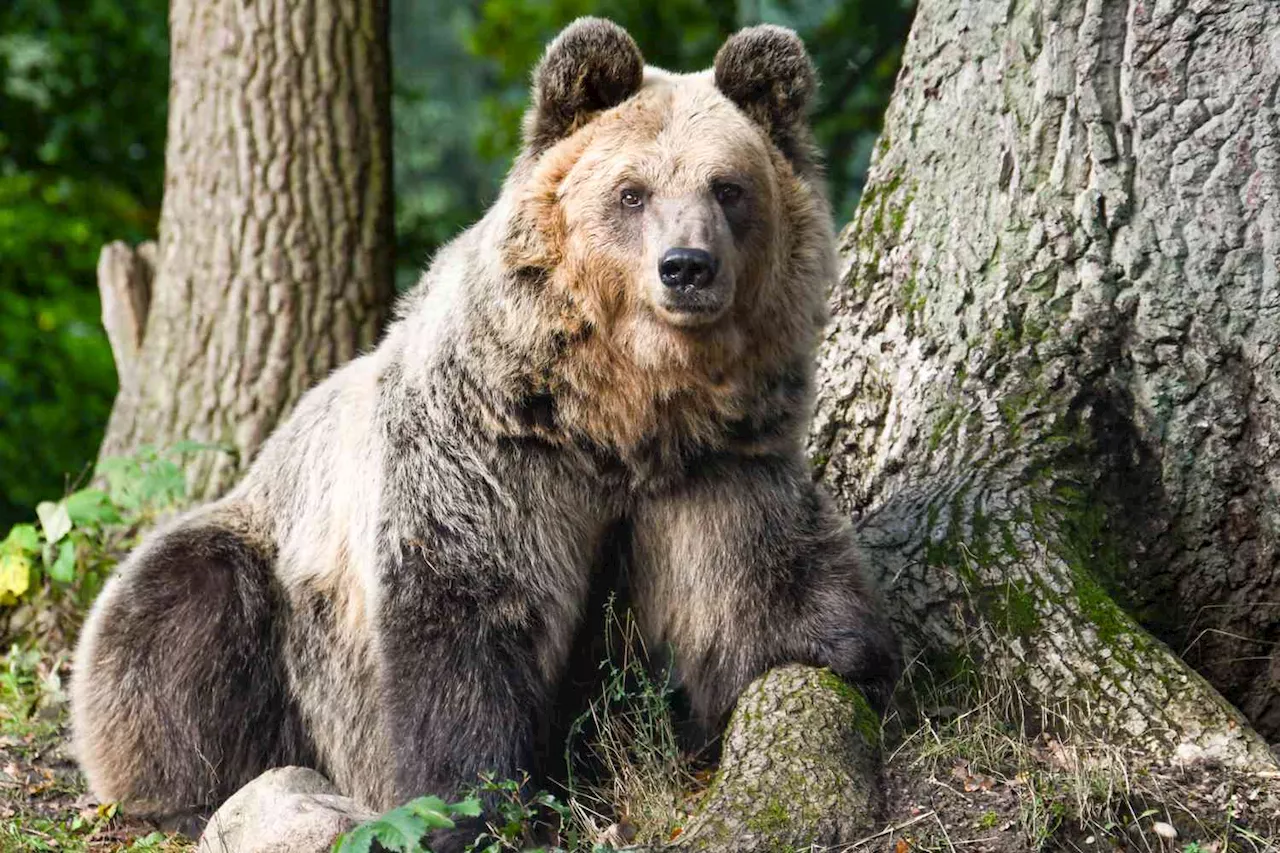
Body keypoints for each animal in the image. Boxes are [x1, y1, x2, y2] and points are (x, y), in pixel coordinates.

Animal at [70, 16, 901, 845]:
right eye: (631, 191)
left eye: (728, 187)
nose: (686, 266)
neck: (621, 414)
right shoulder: (492, 453)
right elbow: (470, 617)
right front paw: (474, 804)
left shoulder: (716, 465)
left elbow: (754, 585)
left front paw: (847, 658)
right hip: (270, 563)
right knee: (179, 611)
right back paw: (188, 790)